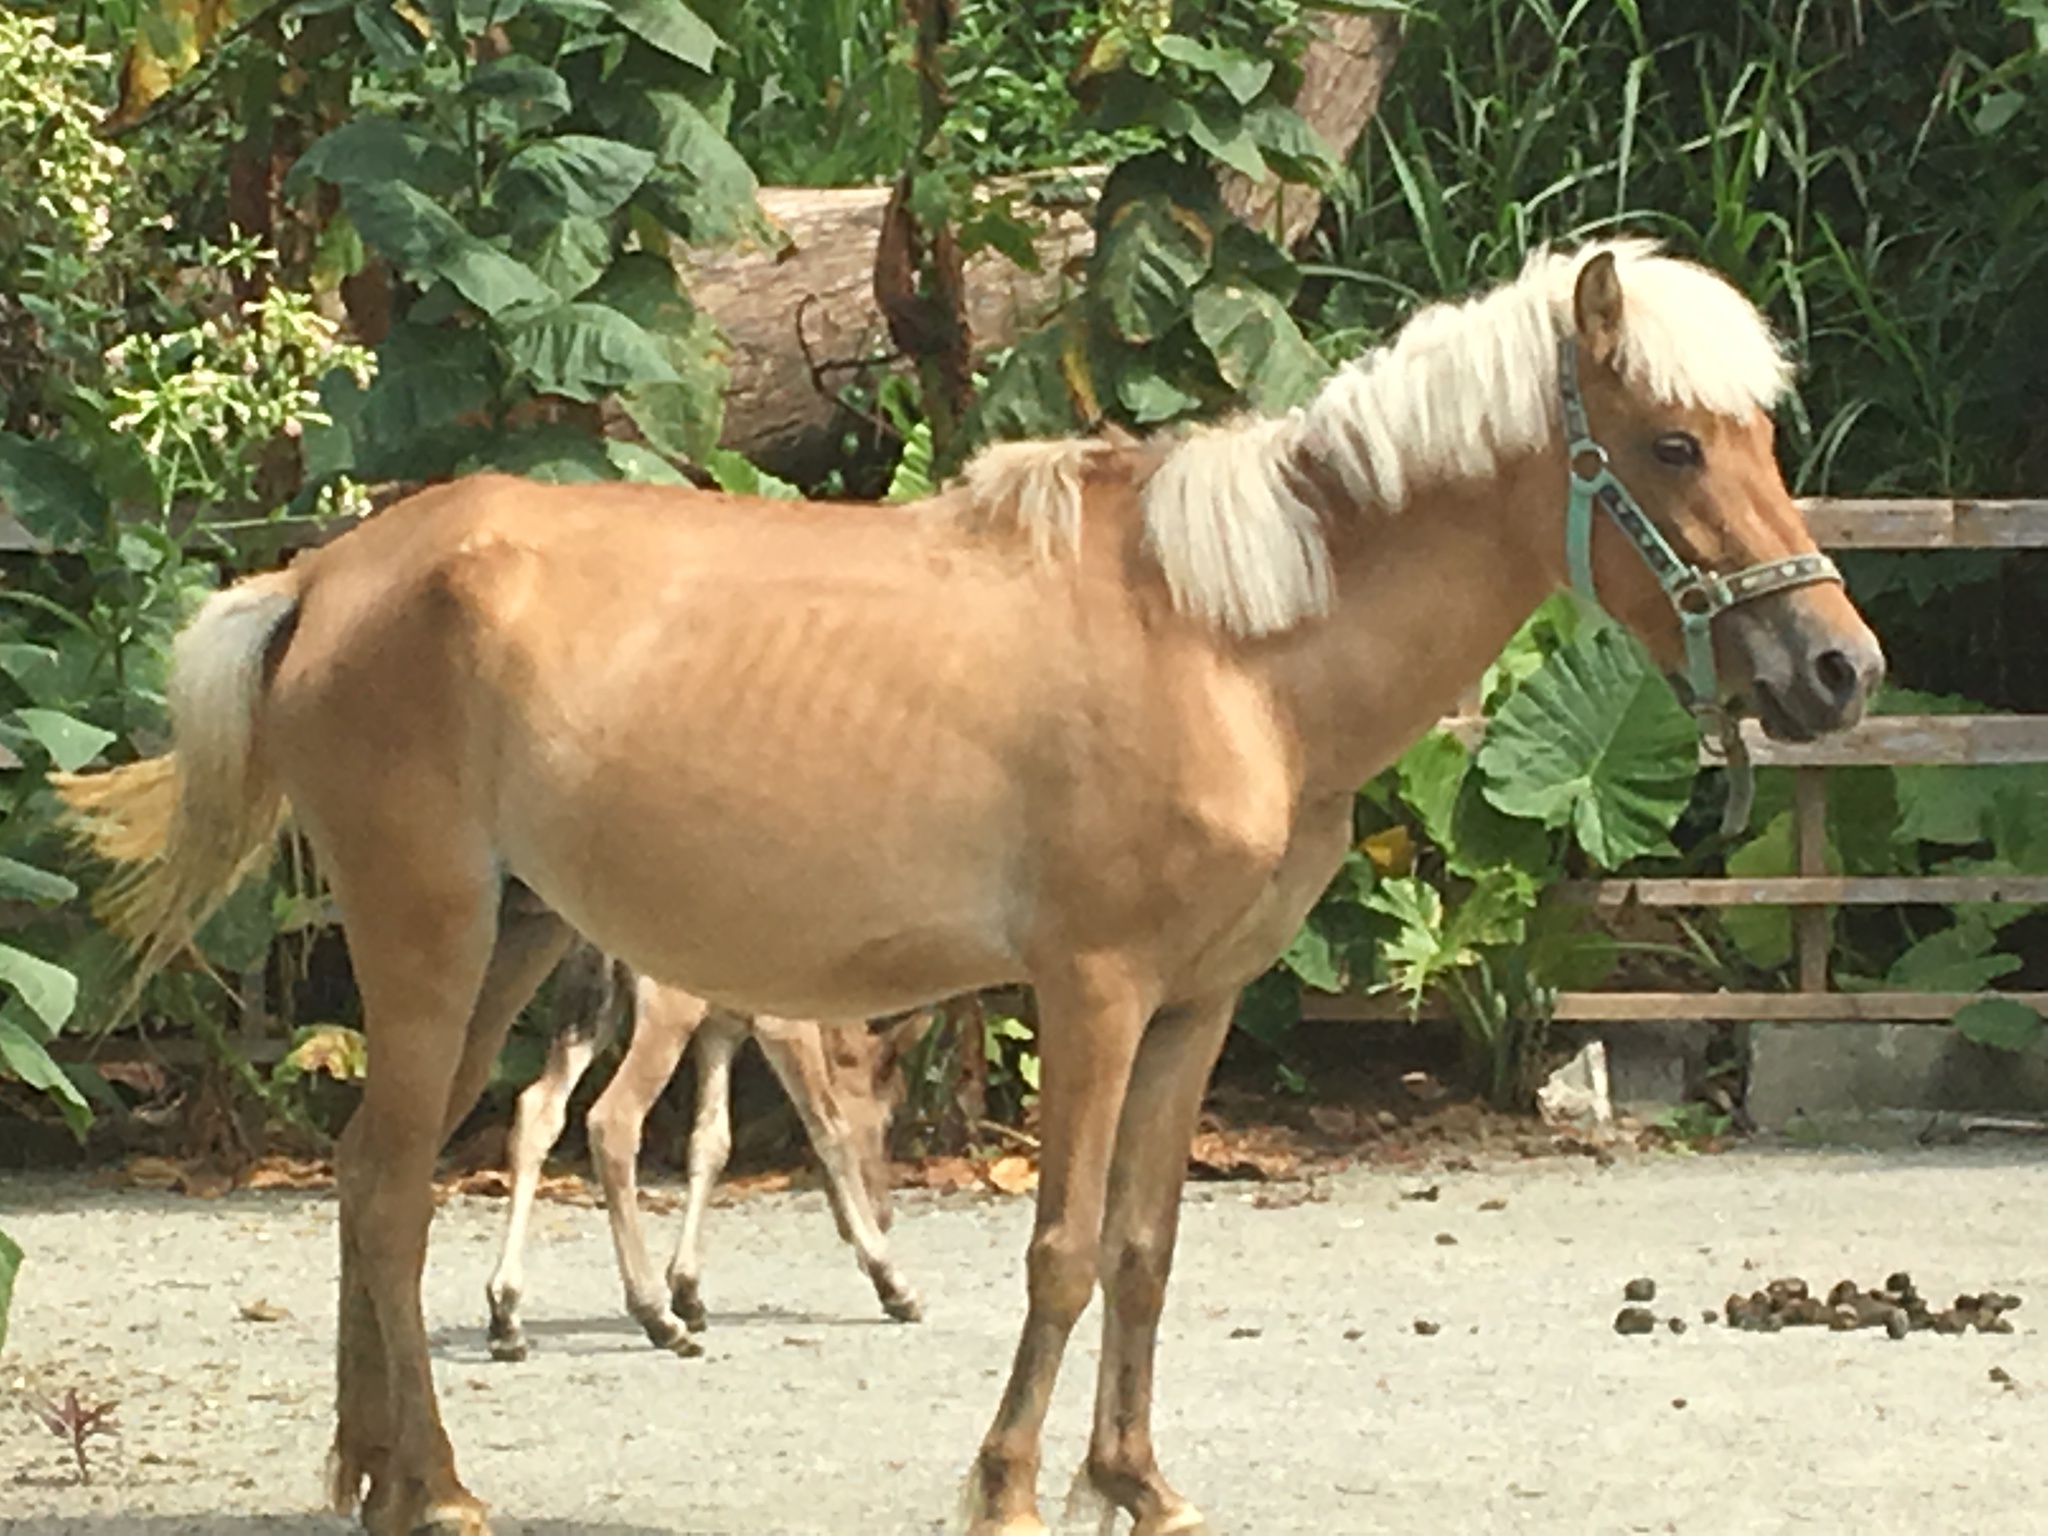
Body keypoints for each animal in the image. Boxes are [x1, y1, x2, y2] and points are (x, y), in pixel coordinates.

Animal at [479, 937, 929, 1359]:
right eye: (889, 1113)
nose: (885, 1213)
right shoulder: (779, 1022)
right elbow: (830, 1129)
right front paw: (893, 1283)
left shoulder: (721, 1028)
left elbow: (710, 1142)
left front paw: (687, 1291)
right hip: (664, 1009)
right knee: (613, 1119)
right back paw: (656, 1317)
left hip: (590, 1005)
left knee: (537, 1110)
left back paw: (506, 1316)